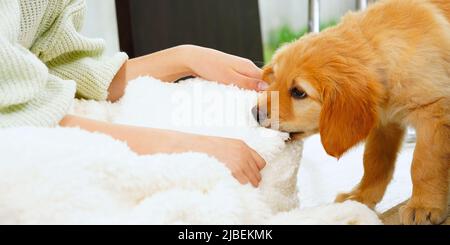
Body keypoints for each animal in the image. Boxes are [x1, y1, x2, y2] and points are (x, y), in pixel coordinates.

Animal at [255, 0, 448, 226]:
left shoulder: (433, 112)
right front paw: (361, 196)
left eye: (298, 92)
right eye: (274, 79)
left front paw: (424, 205)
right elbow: (374, 161)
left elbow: (424, 165)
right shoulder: (384, 122)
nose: (254, 113)